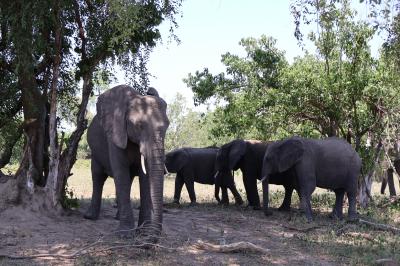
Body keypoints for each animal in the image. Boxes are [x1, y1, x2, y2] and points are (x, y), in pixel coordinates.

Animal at [85, 84, 170, 235]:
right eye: (139, 126)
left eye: (167, 127)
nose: (152, 238)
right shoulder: (115, 133)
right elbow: (121, 172)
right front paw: (125, 234)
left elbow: (145, 177)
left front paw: (143, 232)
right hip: (95, 152)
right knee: (98, 176)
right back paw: (90, 217)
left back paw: (118, 218)